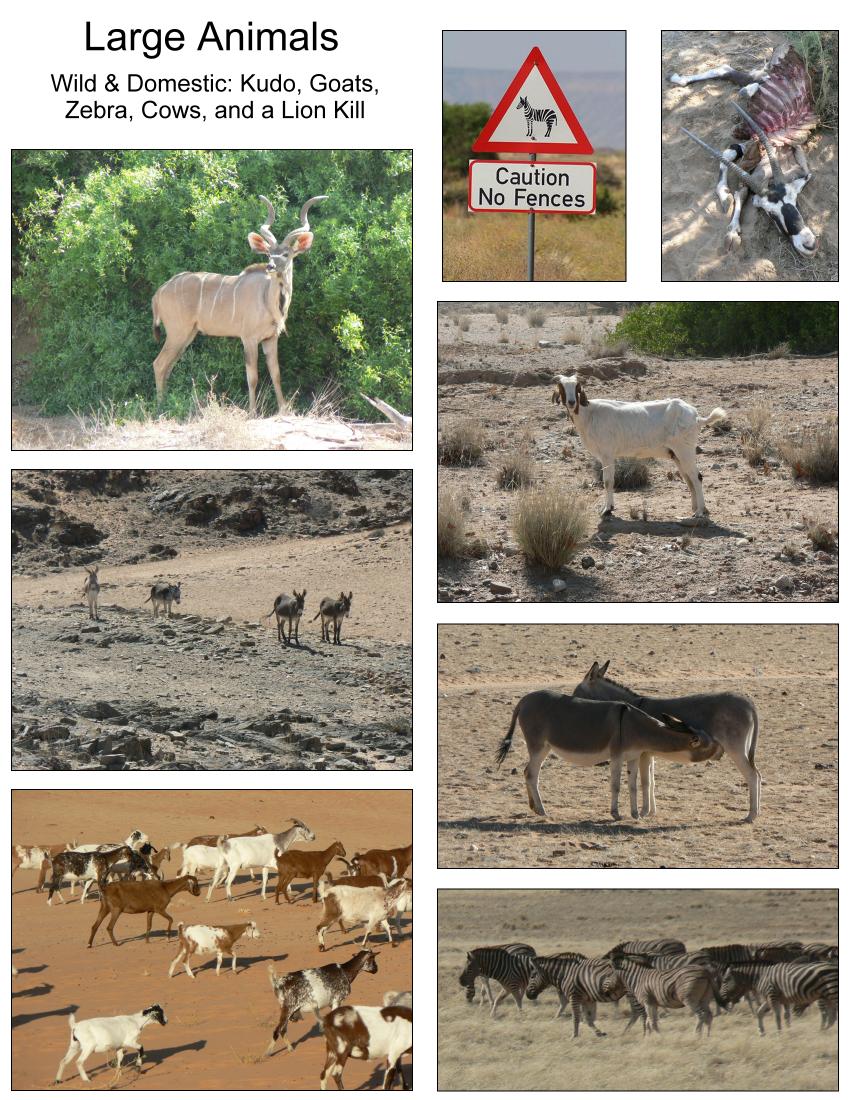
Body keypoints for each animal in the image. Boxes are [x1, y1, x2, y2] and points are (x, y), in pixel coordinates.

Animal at [554, 374, 725, 519]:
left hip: (685, 450)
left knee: (697, 477)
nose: (571, 402)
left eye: (576, 386)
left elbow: (608, 481)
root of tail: (697, 417)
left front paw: (607, 510)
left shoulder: (607, 454)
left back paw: (700, 512)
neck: (589, 414)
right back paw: (696, 509)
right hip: (676, 454)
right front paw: (609, 507)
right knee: (689, 479)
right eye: (562, 387)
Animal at [668, 42, 813, 255]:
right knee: (728, 71)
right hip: (762, 79)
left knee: (730, 72)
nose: (809, 244)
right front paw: (731, 225)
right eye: (771, 213)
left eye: (795, 201)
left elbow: (731, 157)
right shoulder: (753, 143)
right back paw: (678, 79)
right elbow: (731, 162)